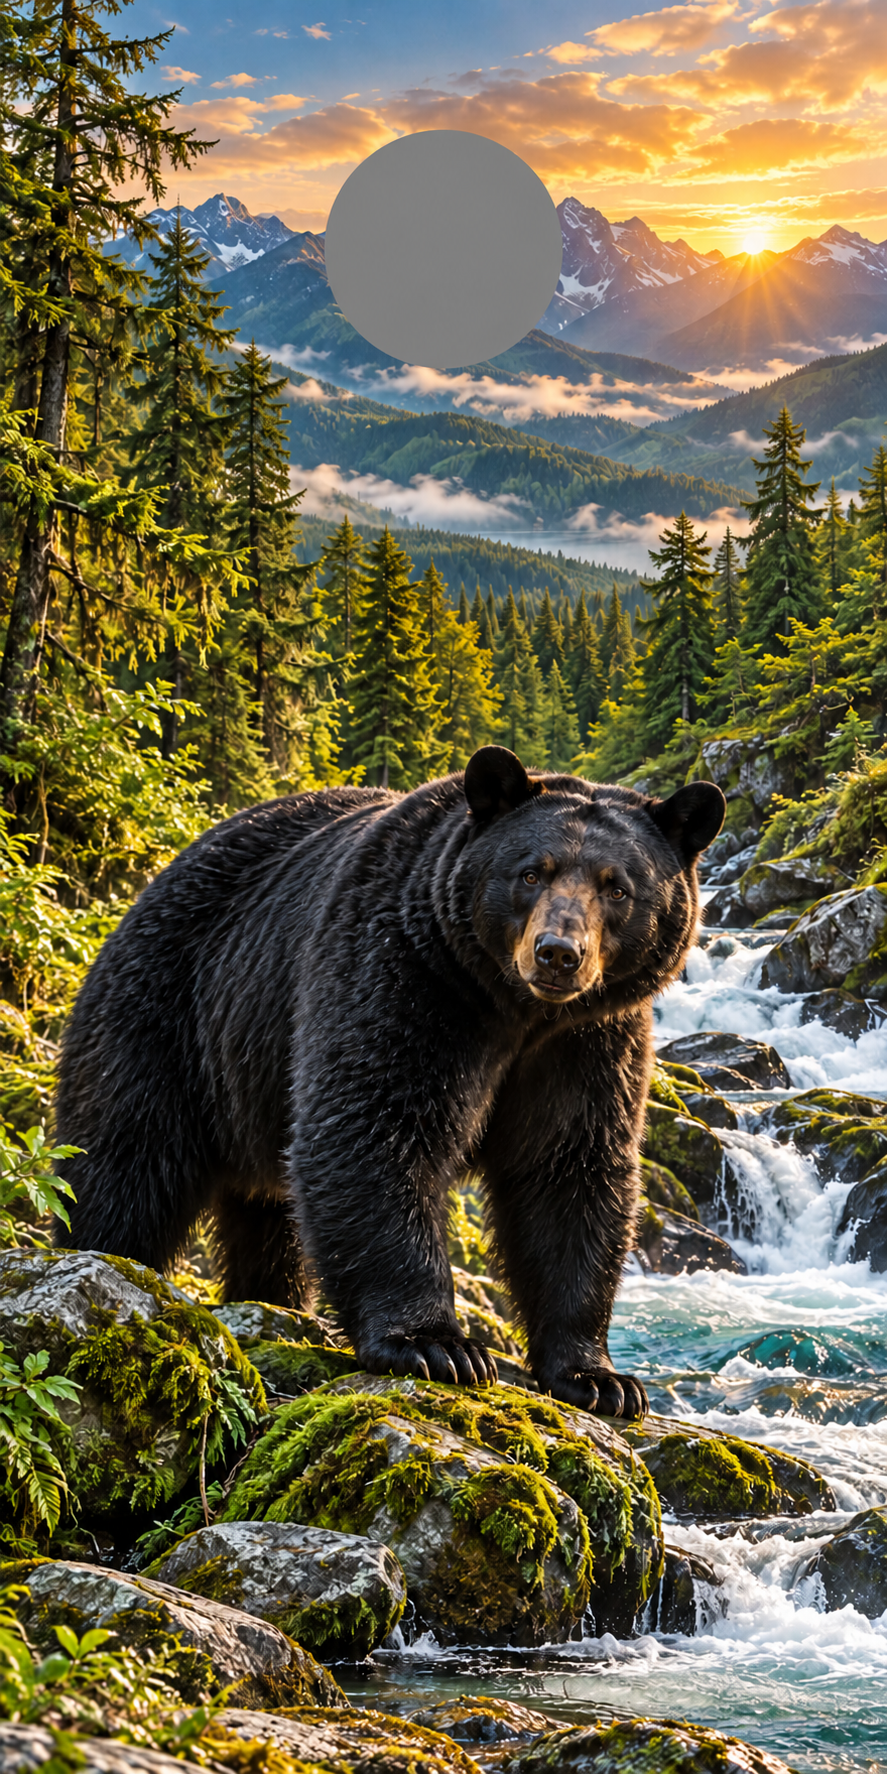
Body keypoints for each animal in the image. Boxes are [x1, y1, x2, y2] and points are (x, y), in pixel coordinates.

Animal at [56, 746, 725, 1417]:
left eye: (617, 886)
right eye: (532, 872)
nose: (558, 952)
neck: (515, 1010)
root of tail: (156, 879)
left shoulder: (587, 1043)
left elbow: (568, 1168)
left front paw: (599, 1378)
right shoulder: (404, 974)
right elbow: (374, 1124)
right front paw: (435, 1346)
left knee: (268, 1218)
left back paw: (274, 1300)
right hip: (170, 1015)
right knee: (124, 1165)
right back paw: (98, 1255)